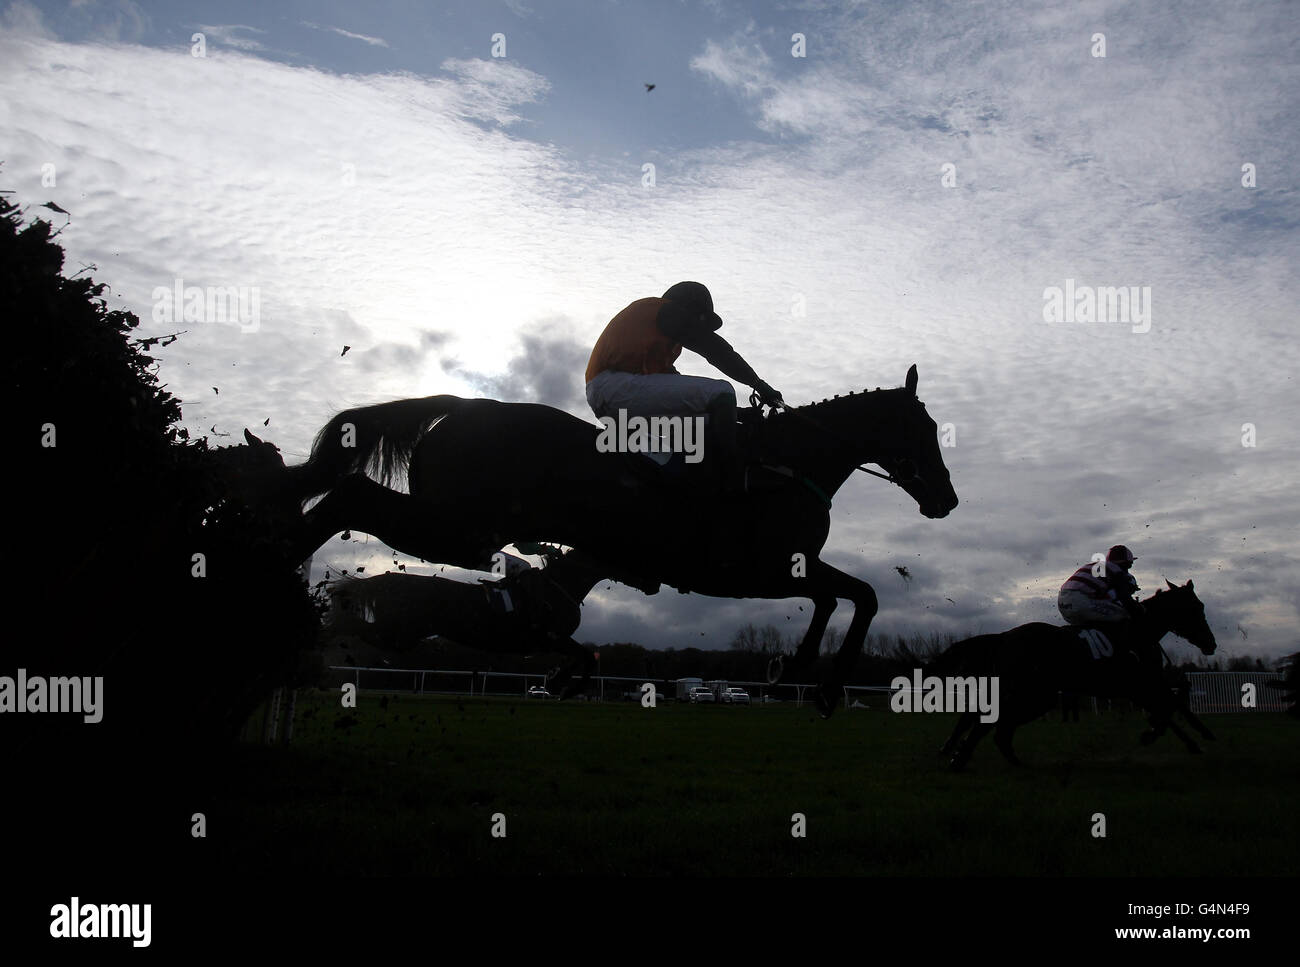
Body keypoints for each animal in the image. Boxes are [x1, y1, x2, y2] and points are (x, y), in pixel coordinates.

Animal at [266, 366, 956, 712]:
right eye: (924, 428)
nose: (946, 500)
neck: (787, 462)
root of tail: (461, 404)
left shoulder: (786, 568)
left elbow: (841, 596)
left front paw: (797, 668)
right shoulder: (754, 571)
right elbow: (859, 595)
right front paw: (822, 680)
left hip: (460, 528)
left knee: (345, 497)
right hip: (462, 528)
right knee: (349, 498)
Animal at [935, 582, 1216, 769]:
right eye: (1196, 607)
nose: (1210, 644)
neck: (1139, 629)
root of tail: (1004, 636)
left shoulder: (1141, 687)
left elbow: (1172, 704)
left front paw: (1193, 739)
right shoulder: (1139, 684)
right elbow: (1170, 706)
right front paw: (1161, 734)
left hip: (1030, 693)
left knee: (989, 720)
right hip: (1035, 694)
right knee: (992, 722)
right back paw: (962, 756)